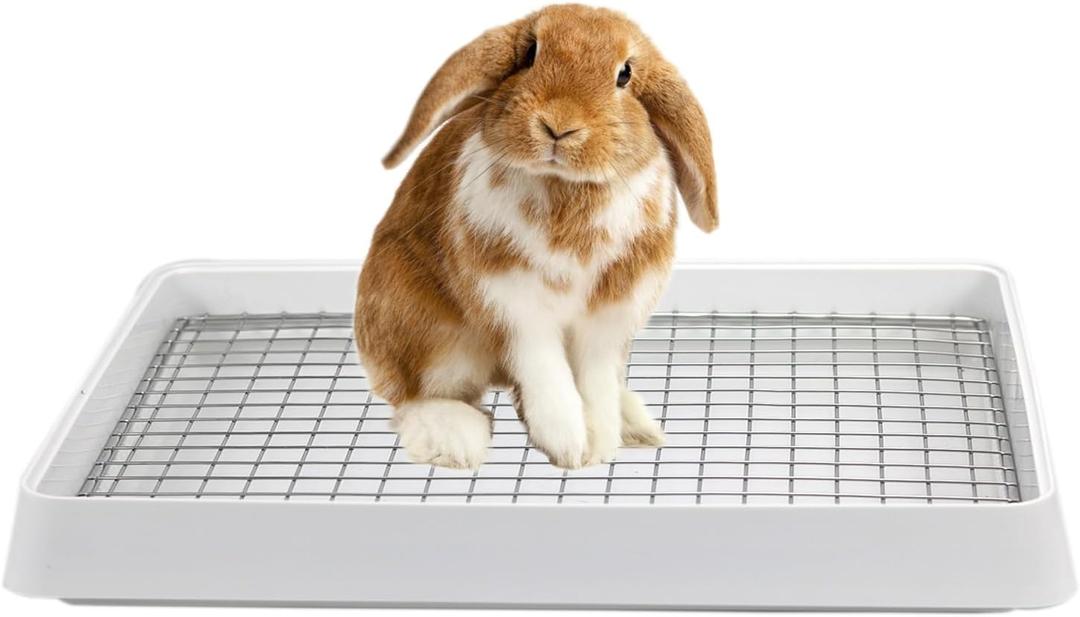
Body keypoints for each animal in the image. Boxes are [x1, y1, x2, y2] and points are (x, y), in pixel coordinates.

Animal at [355, 3, 716, 470]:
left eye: (625, 75)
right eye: (530, 54)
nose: (559, 125)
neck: (565, 187)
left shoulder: (608, 319)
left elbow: (595, 385)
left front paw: (599, 445)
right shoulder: (517, 309)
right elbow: (549, 377)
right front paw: (570, 445)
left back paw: (635, 424)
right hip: (426, 330)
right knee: (415, 398)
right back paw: (455, 439)